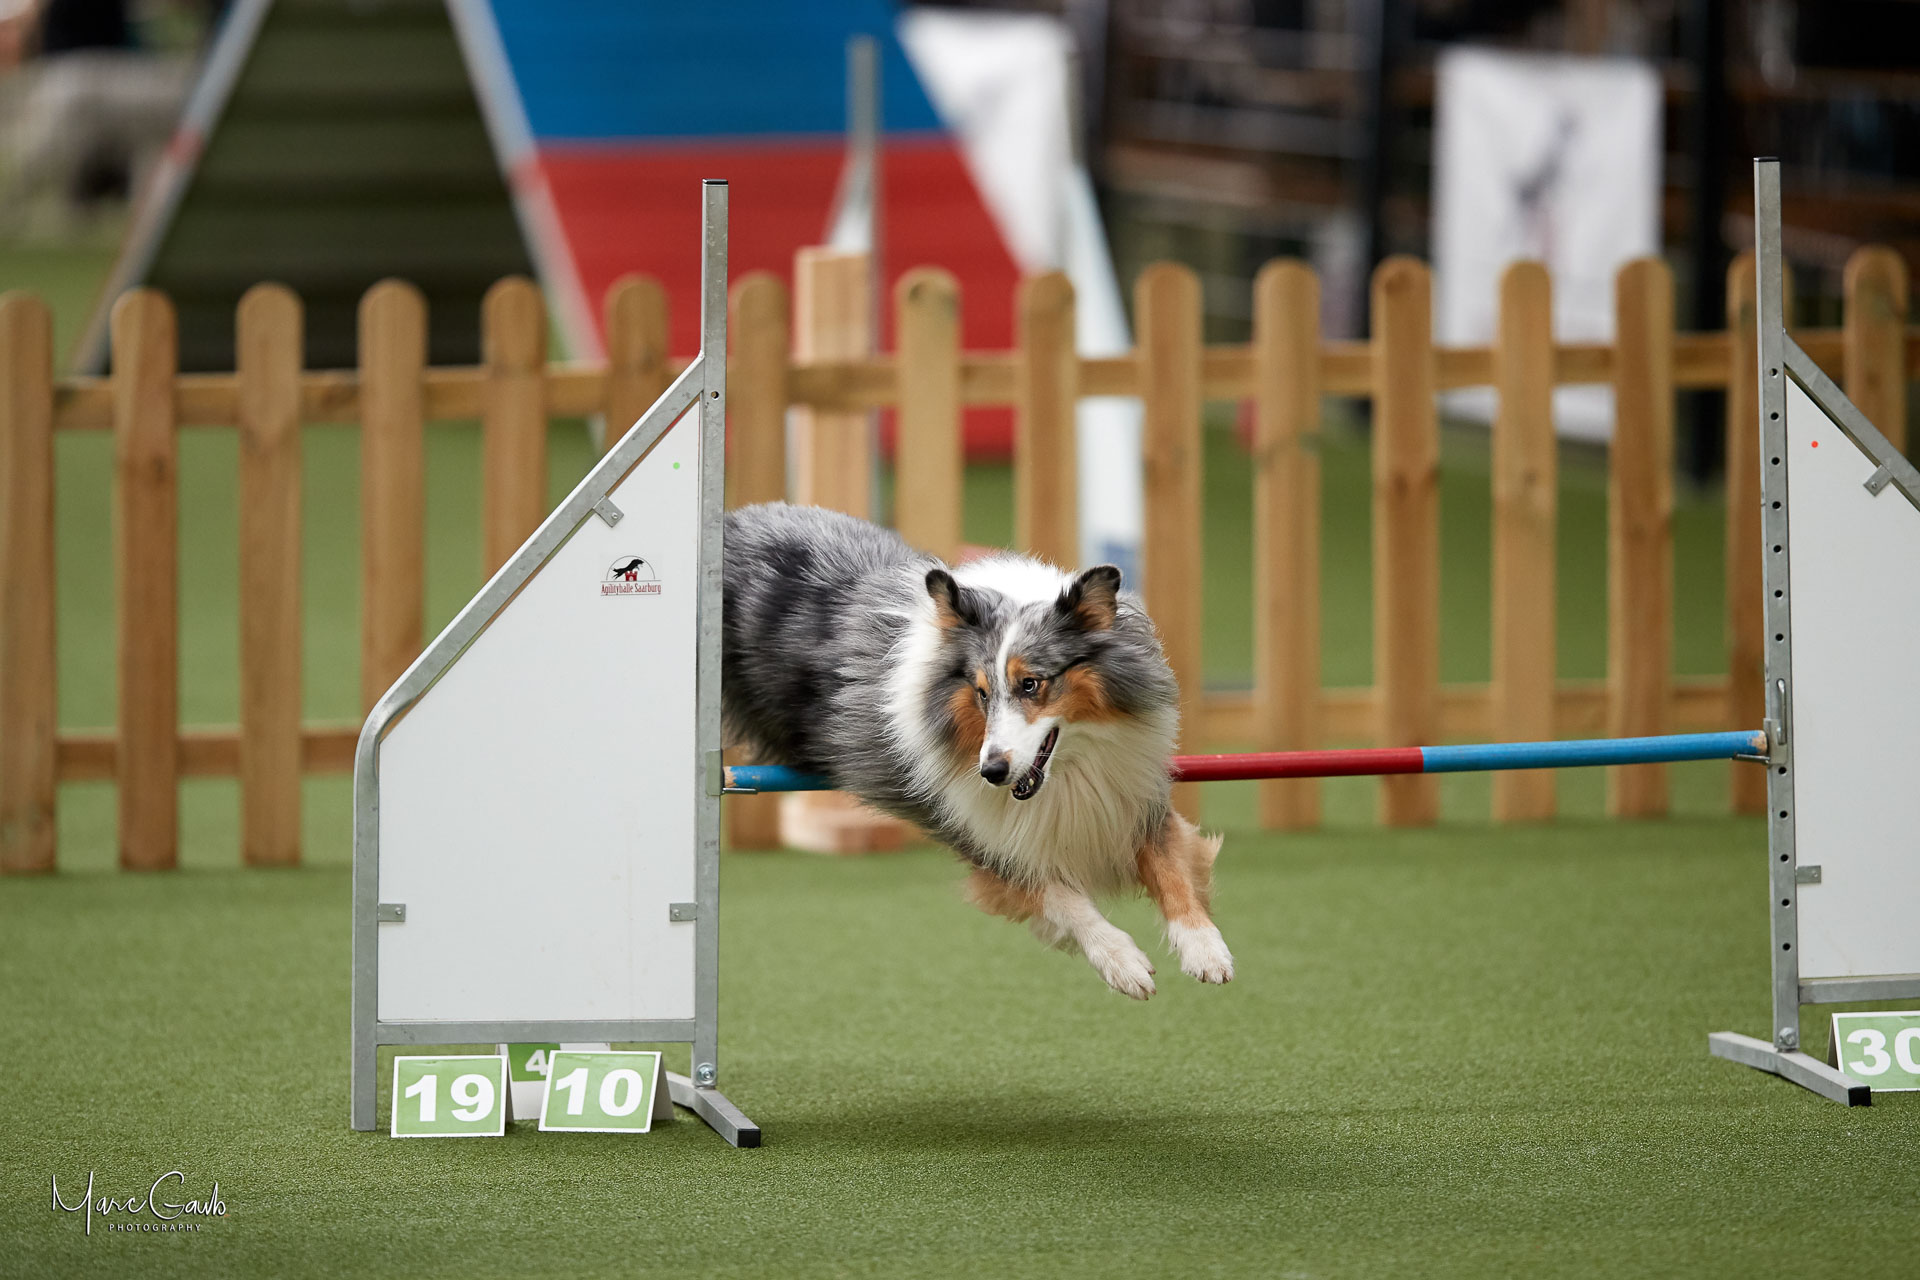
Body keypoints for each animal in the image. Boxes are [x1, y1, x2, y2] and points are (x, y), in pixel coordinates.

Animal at [722, 502, 1232, 999]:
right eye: (982, 692)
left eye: (1031, 684)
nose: (992, 772)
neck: (1071, 770)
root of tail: (736, 518)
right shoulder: (984, 840)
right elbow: (1065, 899)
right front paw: (1122, 962)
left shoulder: (1136, 797)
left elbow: (1173, 869)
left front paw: (1205, 949)